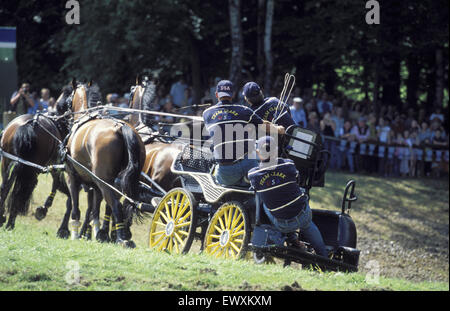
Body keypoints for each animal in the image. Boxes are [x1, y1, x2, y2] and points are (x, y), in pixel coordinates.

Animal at [60, 81, 145, 247]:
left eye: (67, 99)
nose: (65, 113)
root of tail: (121, 127)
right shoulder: (95, 185)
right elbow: (94, 210)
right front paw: (98, 233)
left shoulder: (72, 177)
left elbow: (75, 208)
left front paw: (75, 233)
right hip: (120, 182)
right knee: (122, 205)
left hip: (104, 181)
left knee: (116, 206)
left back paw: (121, 238)